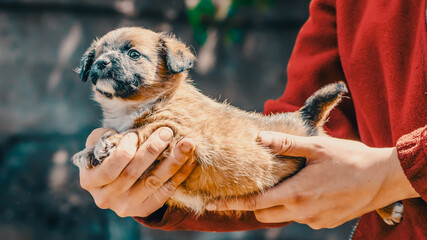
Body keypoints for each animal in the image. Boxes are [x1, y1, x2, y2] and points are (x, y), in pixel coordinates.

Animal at [72, 26, 402, 225]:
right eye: (98, 55)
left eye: (133, 54)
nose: (102, 63)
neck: (131, 106)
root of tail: (303, 118)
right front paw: (90, 150)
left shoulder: (175, 131)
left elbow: (136, 132)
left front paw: (107, 145)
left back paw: (388, 209)